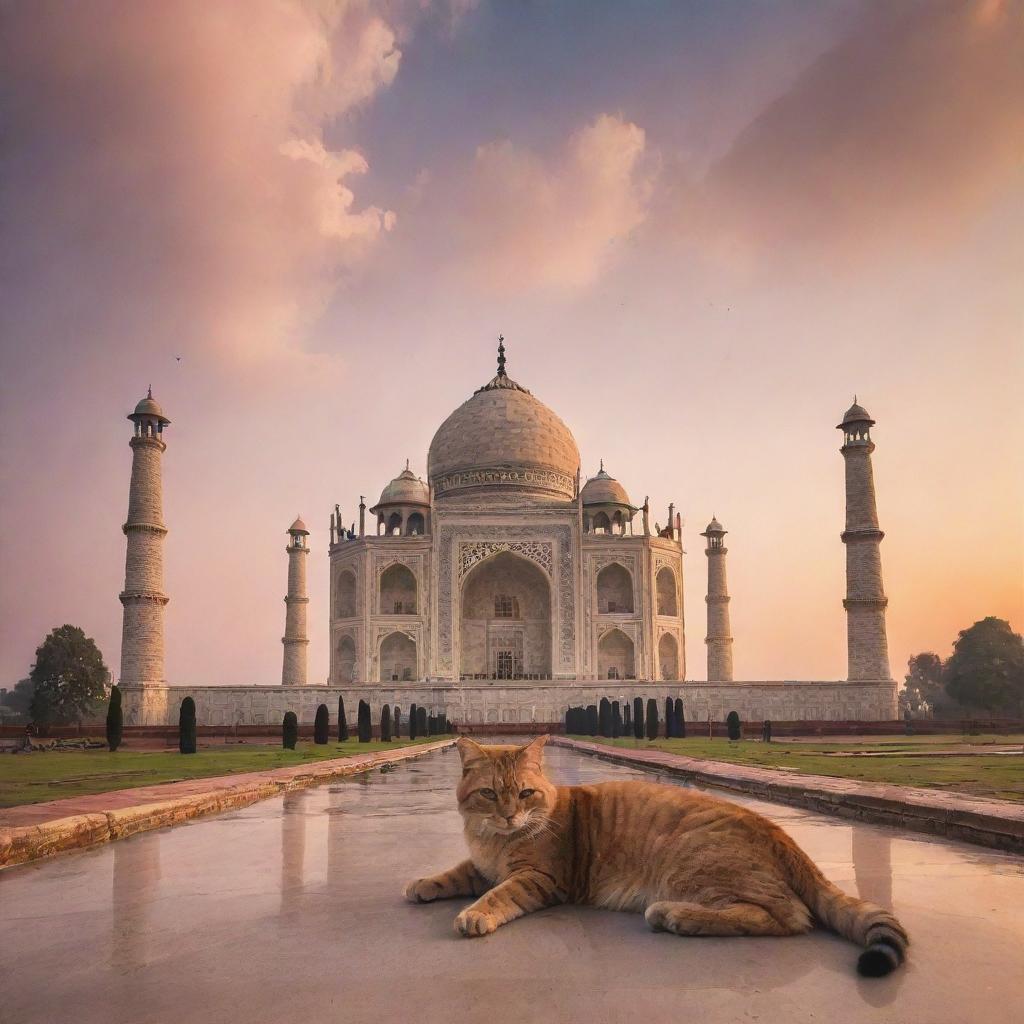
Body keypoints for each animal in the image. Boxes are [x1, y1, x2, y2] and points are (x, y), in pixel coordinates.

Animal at [403, 737, 909, 974]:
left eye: (526, 793)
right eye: (489, 794)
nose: (509, 816)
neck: (494, 839)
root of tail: (779, 833)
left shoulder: (544, 876)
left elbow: (501, 893)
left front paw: (475, 915)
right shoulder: (482, 862)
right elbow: (459, 871)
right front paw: (423, 883)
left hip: (691, 856)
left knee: (790, 916)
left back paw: (674, 915)